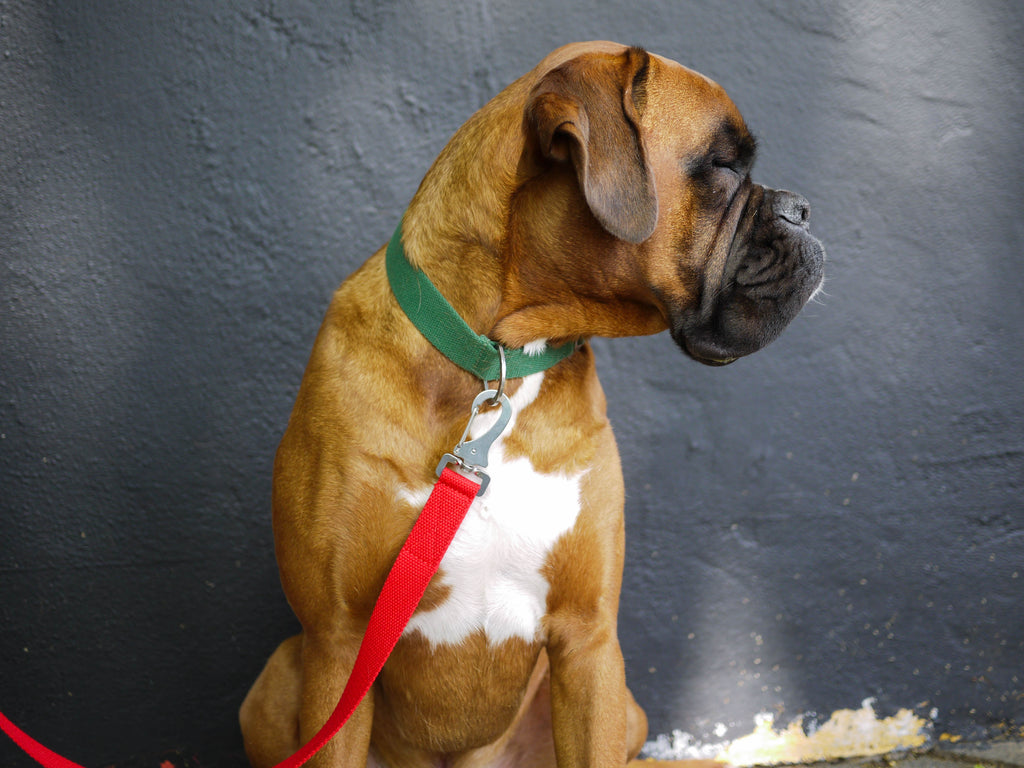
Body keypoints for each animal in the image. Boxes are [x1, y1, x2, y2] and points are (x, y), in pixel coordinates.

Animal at [239, 40, 823, 768]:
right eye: (722, 166)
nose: (804, 208)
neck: (502, 359)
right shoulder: (338, 641)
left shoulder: (589, 644)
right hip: (279, 676)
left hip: (625, 709)